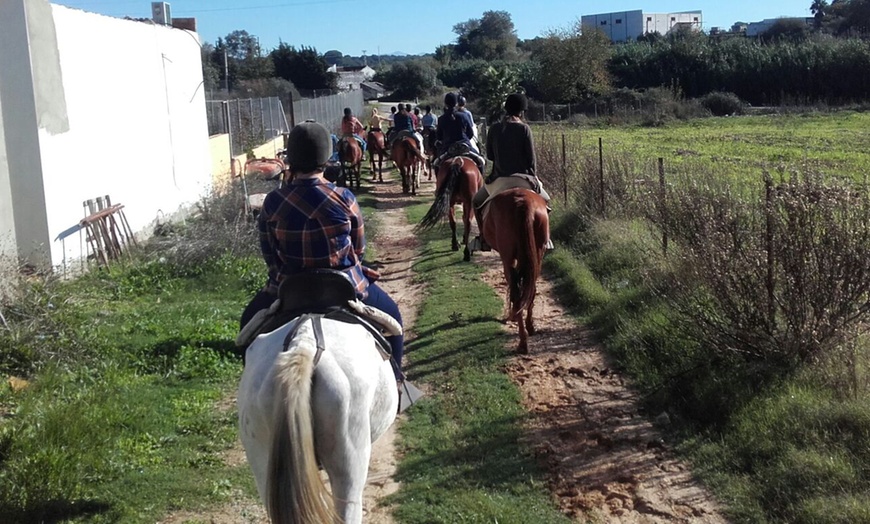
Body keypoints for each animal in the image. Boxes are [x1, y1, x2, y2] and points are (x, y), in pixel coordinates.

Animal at [484, 188, 552, 352]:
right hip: (538, 253)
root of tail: (523, 202)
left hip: (508, 256)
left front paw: (512, 315)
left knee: (516, 292)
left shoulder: (507, 258)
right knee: (530, 289)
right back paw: (530, 327)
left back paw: (522, 342)